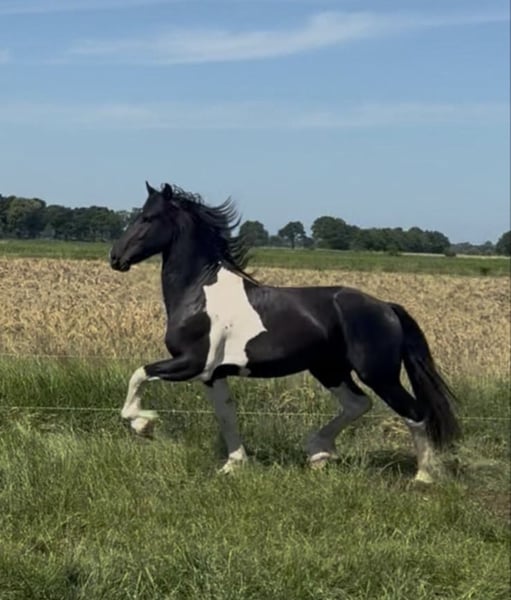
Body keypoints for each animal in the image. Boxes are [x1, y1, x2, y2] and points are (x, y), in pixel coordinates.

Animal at [109, 181, 460, 483]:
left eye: (148, 218)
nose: (116, 258)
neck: (199, 293)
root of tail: (387, 307)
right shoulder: (213, 374)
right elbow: (226, 415)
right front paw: (234, 464)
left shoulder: (193, 363)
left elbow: (138, 374)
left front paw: (144, 424)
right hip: (329, 369)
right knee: (357, 404)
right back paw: (318, 453)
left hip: (378, 374)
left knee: (414, 412)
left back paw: (423, 476)